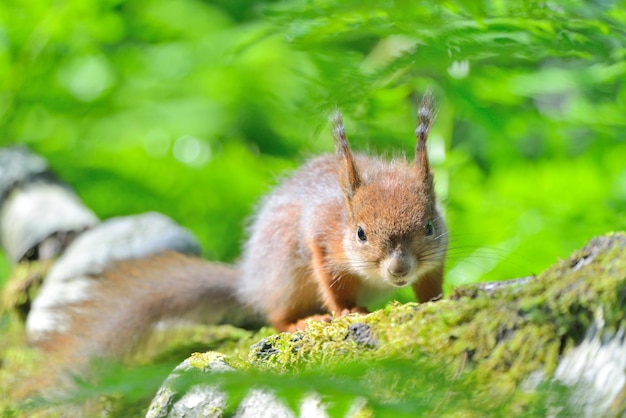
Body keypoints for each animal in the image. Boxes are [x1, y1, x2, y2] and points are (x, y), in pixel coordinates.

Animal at [37, 92, 444, 370]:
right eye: (360, 233)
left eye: (428, 226)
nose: (399, 270)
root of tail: (250, 282)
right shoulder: (321, 238)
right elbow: (331, 282)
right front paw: (347, 311)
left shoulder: (438, 252)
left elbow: (431, 281)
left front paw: (434, 301)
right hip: (283, 276)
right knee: (275, 313)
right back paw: (301, 319)